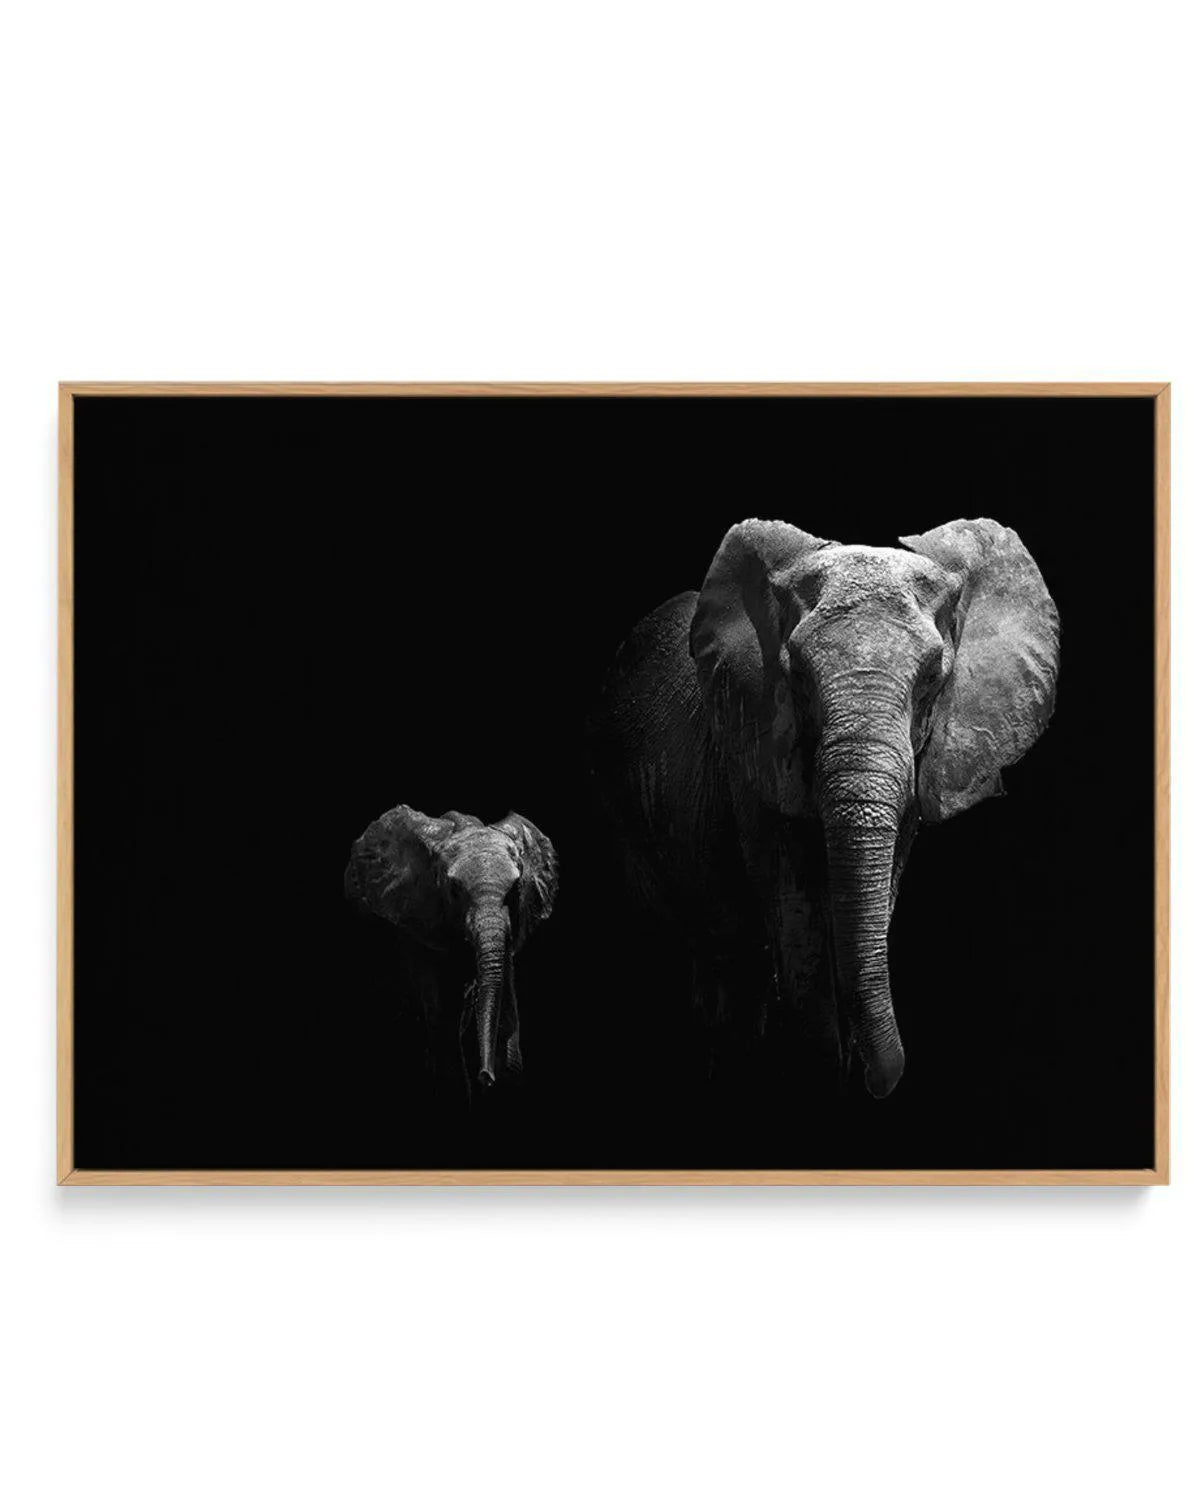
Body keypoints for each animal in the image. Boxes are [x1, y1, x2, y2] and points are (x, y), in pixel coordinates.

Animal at [344, 806, 558, 1088]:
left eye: (515, 889)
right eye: (454, 890)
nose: (485, 1076)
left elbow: (506, 1007)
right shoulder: (415, 917)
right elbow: (440, 1011)